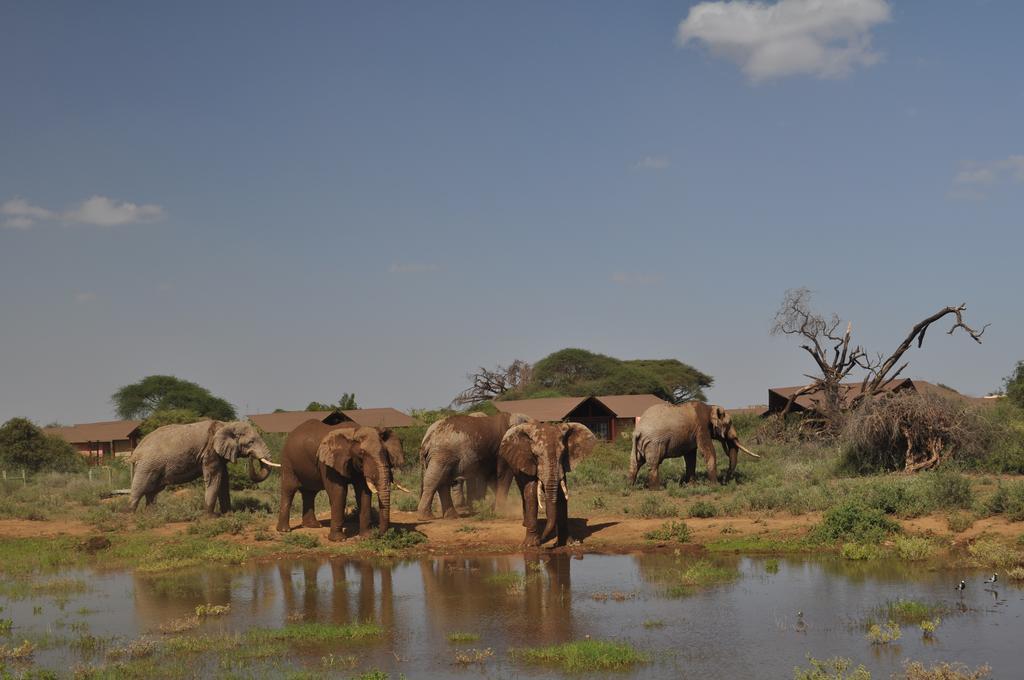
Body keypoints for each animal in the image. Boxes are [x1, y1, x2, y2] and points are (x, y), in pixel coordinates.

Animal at [128, 419, 280, 516]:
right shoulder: (210, 451)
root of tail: (136, 451)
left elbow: (223, 480)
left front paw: (228, 514)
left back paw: (151, 515)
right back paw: (130, 516)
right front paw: (210, 517)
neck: (226, 425)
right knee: (140, 488)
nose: (251, 457)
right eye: (251, 442)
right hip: (147, 465)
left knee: (152, 491)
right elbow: (214, 478)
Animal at [278, 419, 409, 540]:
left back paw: (313, 526)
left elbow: (364, 493)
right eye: (362, 453)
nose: (381, 534)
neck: (353, 432)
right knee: (288, 490)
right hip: (287, 461)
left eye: (385, 452)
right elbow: (338, 492)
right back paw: (284, 530)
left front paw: (366, 537)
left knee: (310, 493)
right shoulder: (328, 463)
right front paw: (339, 540)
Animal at [497, 419, 598, 548]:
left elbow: (561, 495)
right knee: (523, 492)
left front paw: (567, 543)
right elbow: (531, 492)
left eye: (563, 454)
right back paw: (525, 524)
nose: (545, 543)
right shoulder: (527, 461)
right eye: (536, 455)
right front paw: (530, 545)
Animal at [622, 401, 761, 485]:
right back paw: (656, 489)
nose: (725, 480)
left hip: (639, 444)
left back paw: (630, 487)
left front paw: (691, 486)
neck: (710, 407)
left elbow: (690, 457)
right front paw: (715, 486)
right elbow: (708, 451)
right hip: (653, 443)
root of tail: (638, 431)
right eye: (729, 423)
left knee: (634, 463)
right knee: (654, 465)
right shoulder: (702, 428)